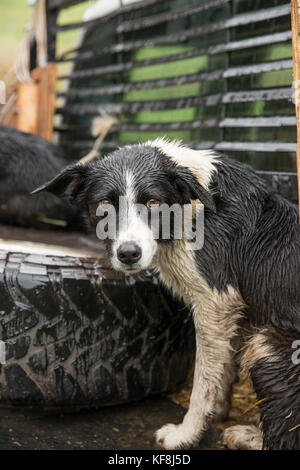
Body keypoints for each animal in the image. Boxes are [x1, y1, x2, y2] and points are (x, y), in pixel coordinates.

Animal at [32, 139, 300, 448]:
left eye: (152, 202)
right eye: (104, 203)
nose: (128, 254)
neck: (193, 207)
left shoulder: (216, 301)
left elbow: (202, 383)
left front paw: (187, 433)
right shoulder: (233, 312)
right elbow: (222, 369)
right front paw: (216, 412)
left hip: (266, 344)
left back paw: (249, 436)